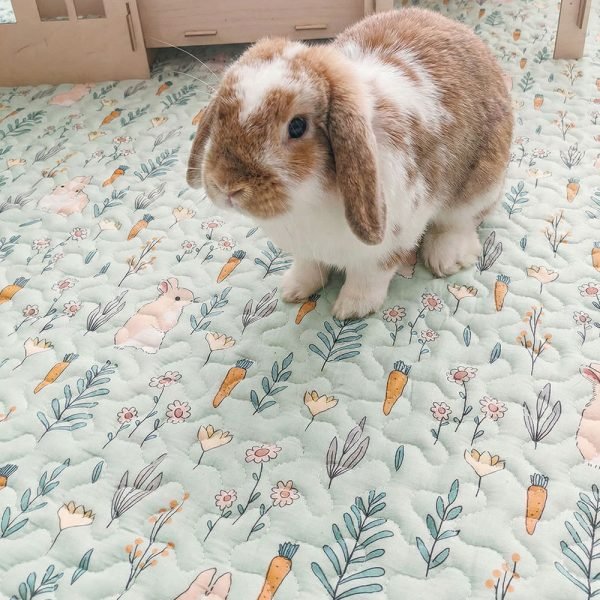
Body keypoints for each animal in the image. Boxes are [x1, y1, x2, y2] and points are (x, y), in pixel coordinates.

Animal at [186, 8, 513, 318]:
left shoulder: (388, 244)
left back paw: (445, 258)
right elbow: (309, 267)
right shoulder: (308, 250)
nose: (227, 186)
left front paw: (351, 309)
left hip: (482, 185)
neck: (308, 200)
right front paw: (293, 289)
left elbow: (368, 278)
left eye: (297, 126)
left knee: (461, 222)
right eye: (221, 116)